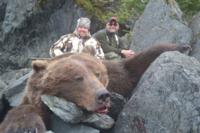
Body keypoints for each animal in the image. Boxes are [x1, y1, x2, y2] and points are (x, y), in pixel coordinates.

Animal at [0, 44, 191, 133]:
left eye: (98, 74)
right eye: (77, 78)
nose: (103, 95)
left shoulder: (118, 76)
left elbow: (132, 67)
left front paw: (183, 47)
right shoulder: (34, 99)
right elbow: (25, 110)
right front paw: (24, 127)